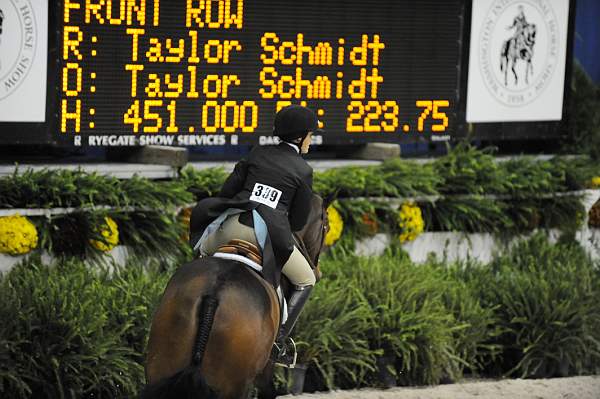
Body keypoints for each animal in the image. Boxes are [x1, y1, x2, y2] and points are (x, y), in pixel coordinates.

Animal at [141, 196, 328, 399]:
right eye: (325, 225)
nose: (317, 271)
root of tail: (214, 293)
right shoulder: (265, 370)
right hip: (235, 384)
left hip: (160, 367)